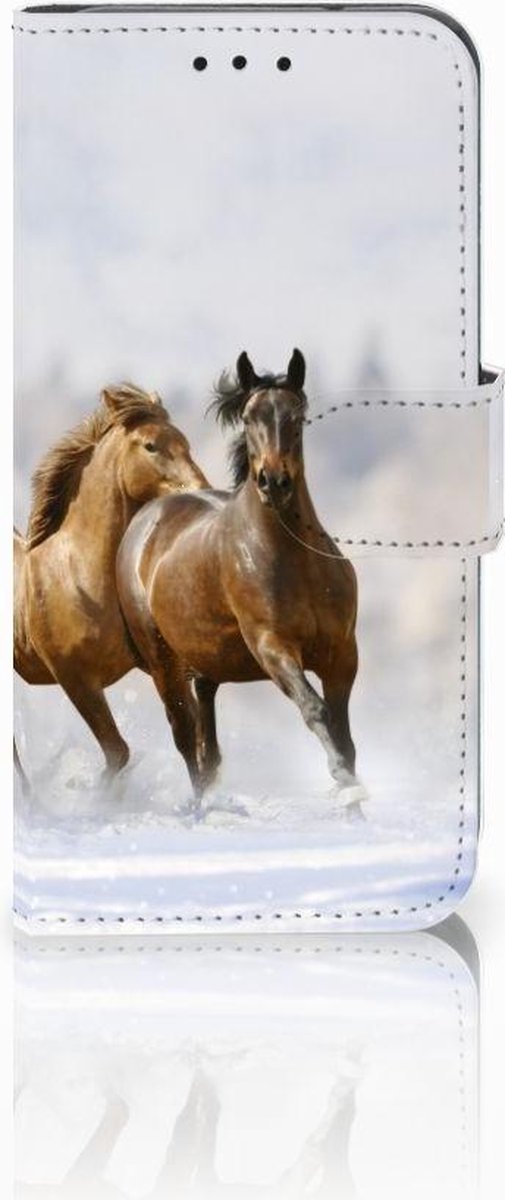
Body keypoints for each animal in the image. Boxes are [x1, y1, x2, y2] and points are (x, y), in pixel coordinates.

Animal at [14, 383, 208, 785]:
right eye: (151, 445)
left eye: (184, 441)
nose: (200, 489)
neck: (79, 577)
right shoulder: (76, 679)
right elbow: (118, 753)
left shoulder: (161, 663)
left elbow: (189, 730)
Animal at [116, 351, 365, 809]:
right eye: (249, 417)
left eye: (297, 415)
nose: (274, 481)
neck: (296, 562)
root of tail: (146, 519)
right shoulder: (273, 648)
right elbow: (315, 710)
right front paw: (343, 782)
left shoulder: (342, 654)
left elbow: (344, 734)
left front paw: (353, 802)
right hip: (163, 663)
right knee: (185, 737)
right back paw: (201, 808)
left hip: (205, 662)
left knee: (207, 743)